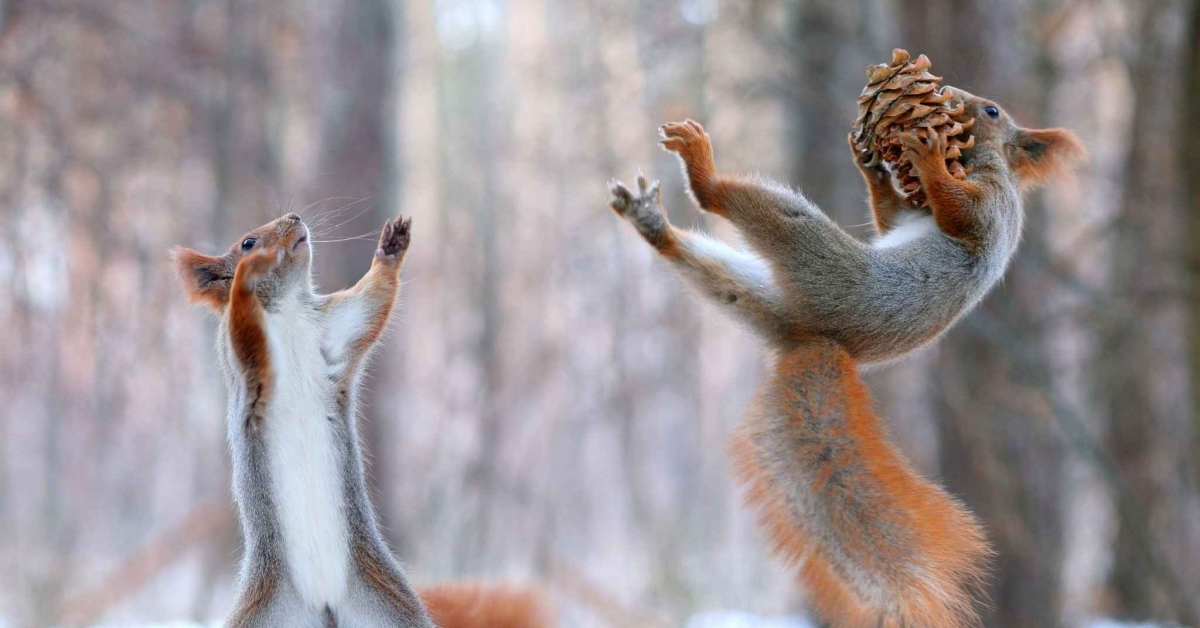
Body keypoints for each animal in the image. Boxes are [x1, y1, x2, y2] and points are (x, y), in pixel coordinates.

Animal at [173, 213, 552, 628]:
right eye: (247, 242)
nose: (294, 218)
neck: (286, 308)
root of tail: (324, 605)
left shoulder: (335, 327)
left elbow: (372, 302)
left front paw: (391, 247)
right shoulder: (244, 356)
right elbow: (244, 324)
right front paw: (247, 275)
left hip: (390, 606)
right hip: (264, 613)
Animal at [606, 89, 1083, 627]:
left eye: (993, 112)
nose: (954, 98)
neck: (984, 162)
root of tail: (814, 338)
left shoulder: (991, 206)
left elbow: (960, 214)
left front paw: (928, 157)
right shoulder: (909, 216)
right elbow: (890, 217)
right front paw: (872, 166)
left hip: (816, 256)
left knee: (735, 205)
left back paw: (701, 169)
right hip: (753, 293)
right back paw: (653, 225)